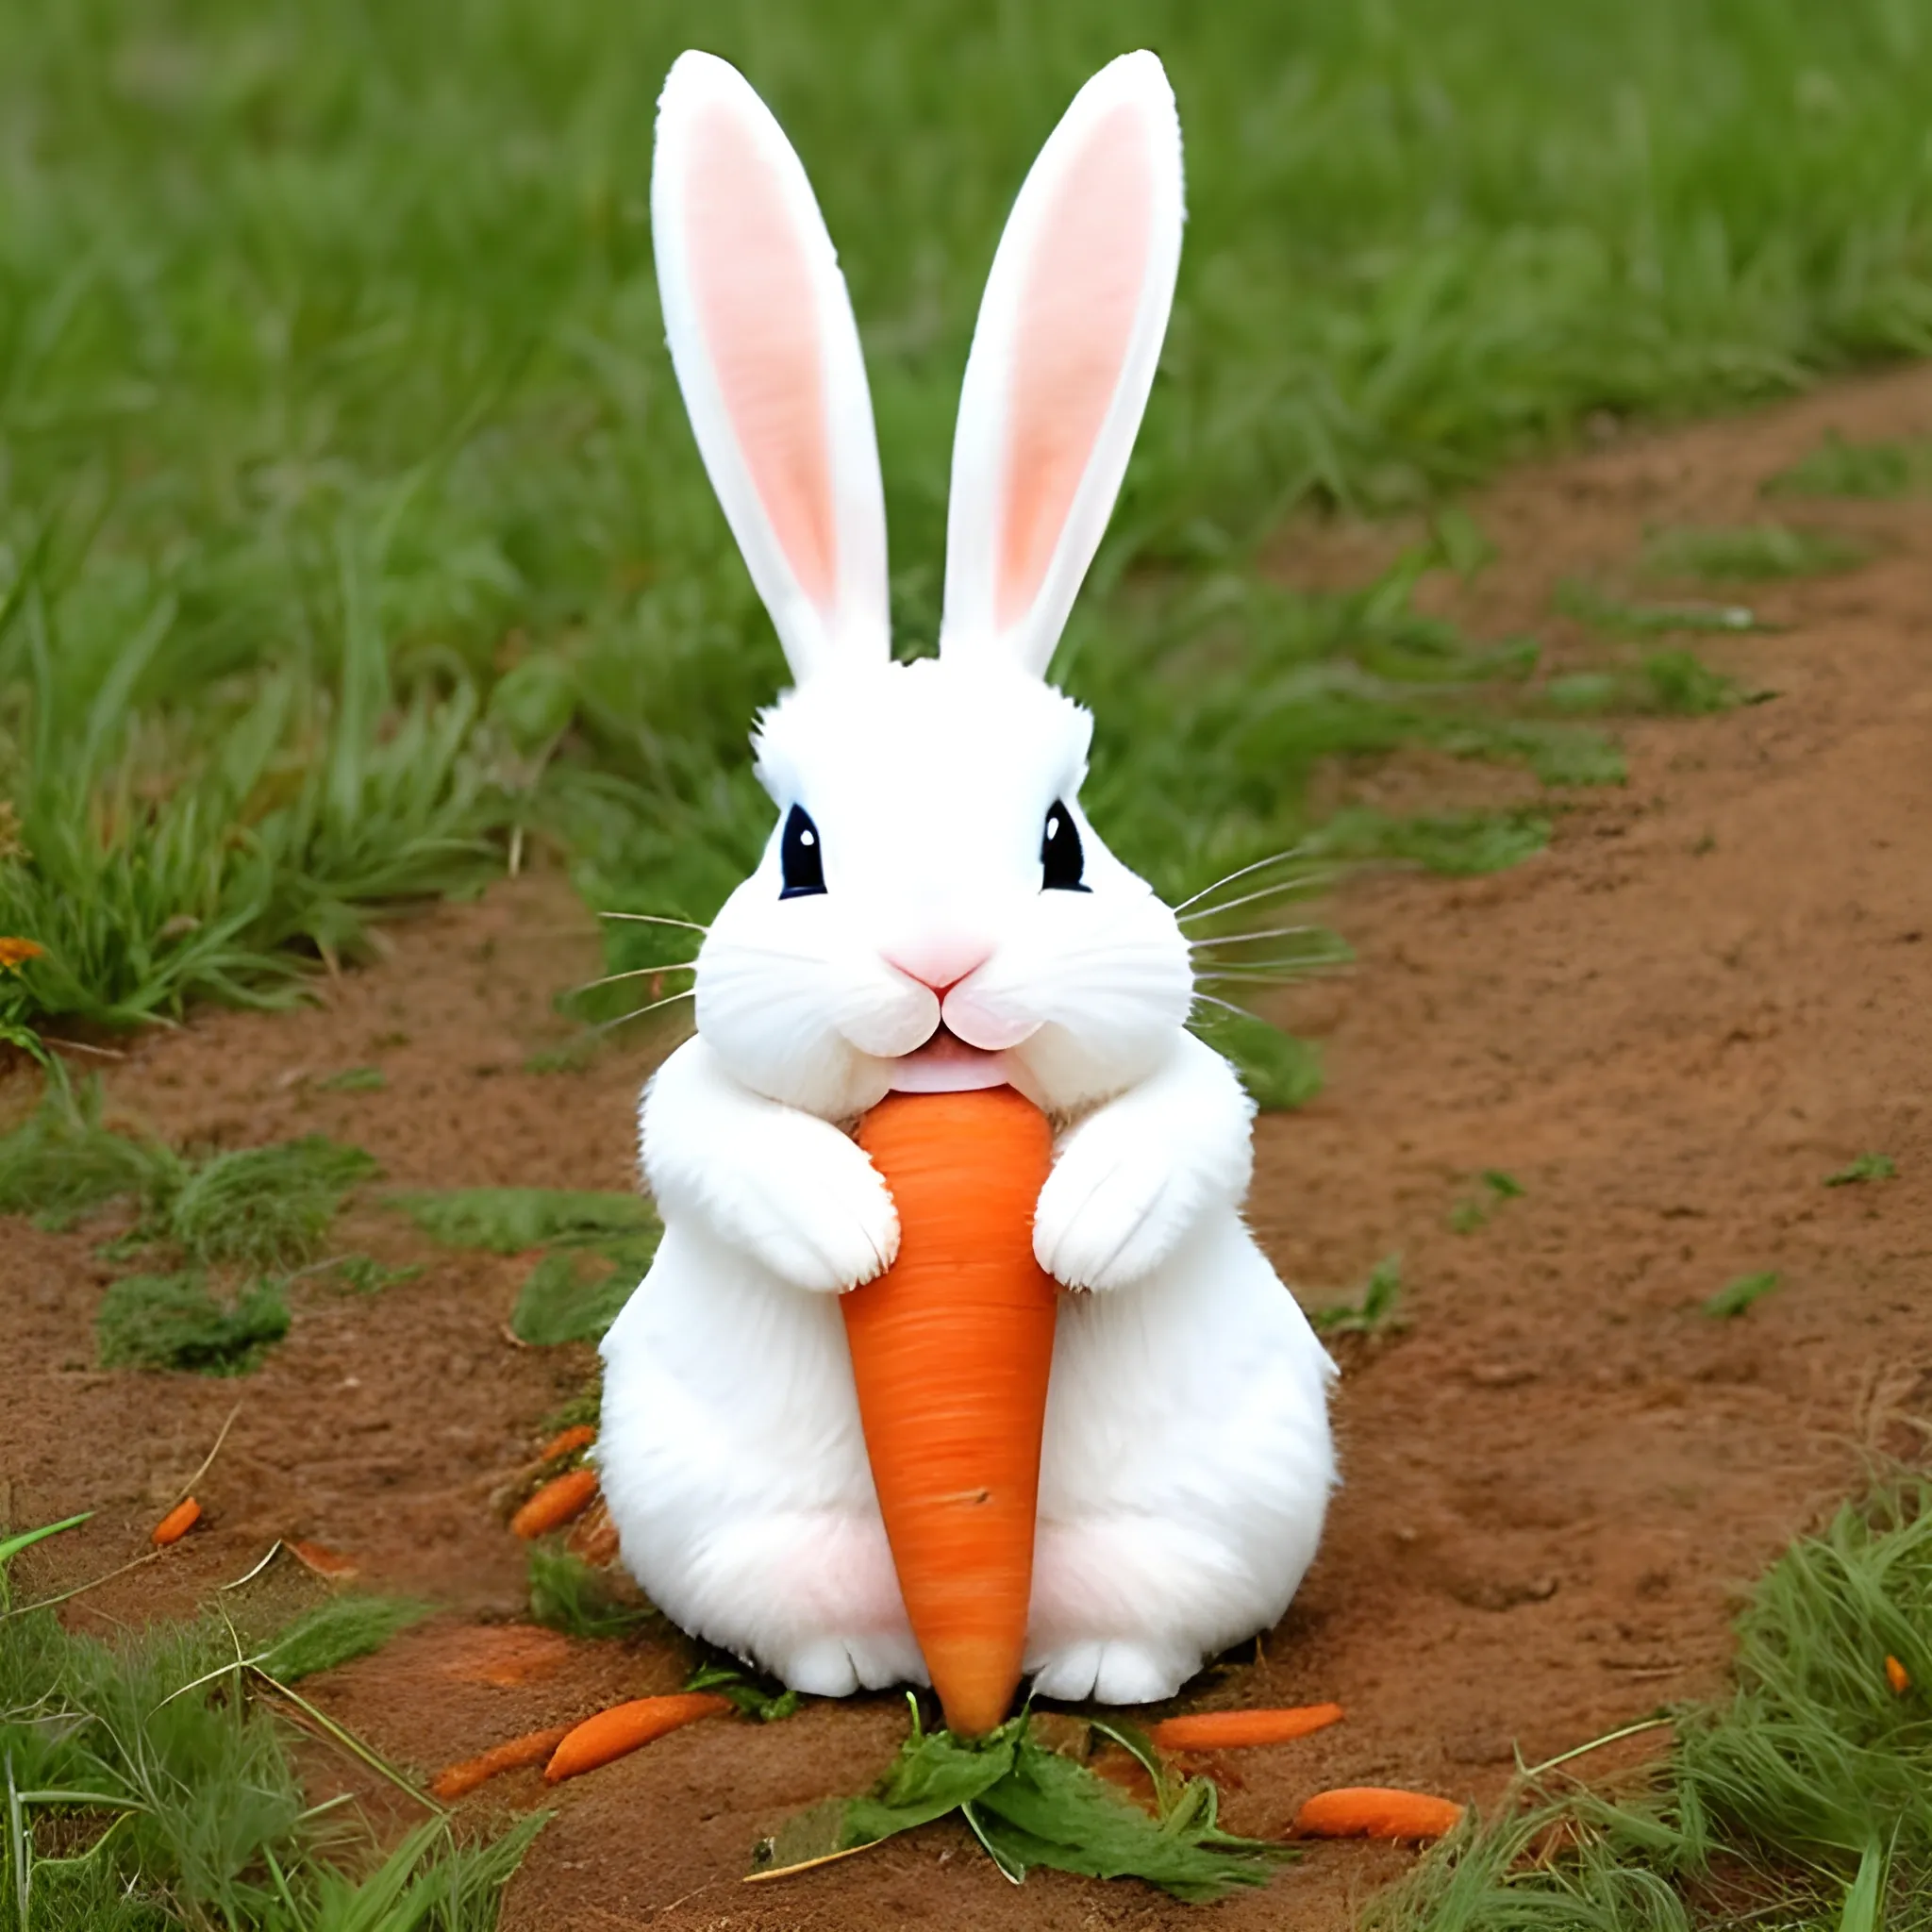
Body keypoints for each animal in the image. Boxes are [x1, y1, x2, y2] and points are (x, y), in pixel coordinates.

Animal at [594, 45, 1337, 1707]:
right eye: (801, 854)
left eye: (1062, 842)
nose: (940, 964)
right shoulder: (696, 1094)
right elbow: (708, 1133)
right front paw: (858, 1232)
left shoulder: (1195, 1083)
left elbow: (1194, 1124)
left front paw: (1074, 1229)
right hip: (722, 1530)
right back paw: (854, 1668)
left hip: (1215, 1522)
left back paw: (1094, 1675)